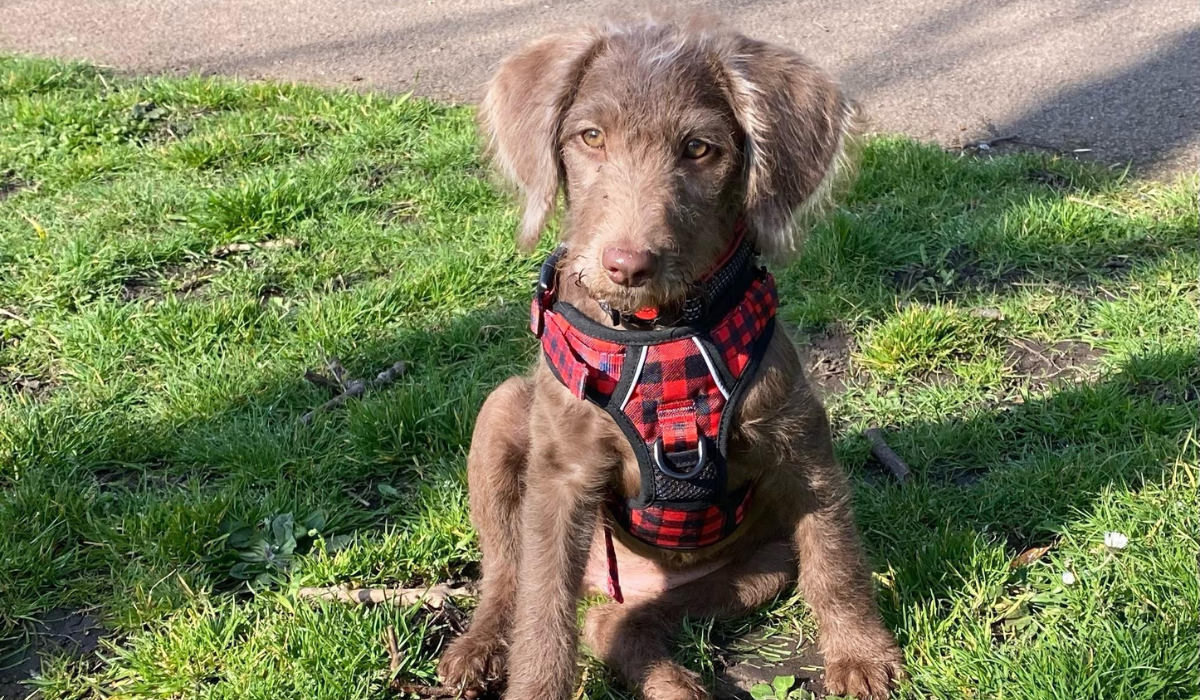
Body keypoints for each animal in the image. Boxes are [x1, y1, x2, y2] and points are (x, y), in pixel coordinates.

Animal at [439, 16, 902, 700]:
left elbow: (836, 556)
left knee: (613, 624)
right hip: (503, 414)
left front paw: (861, 653)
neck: (662, 333)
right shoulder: (562, 478)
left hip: (754, 568)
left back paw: (672, 681)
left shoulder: (801, 445)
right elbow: (542, 619)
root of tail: (614, 581)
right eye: (591, 137)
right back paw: (480, 646)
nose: (627, 266)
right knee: (508, 573)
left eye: (699, 149)